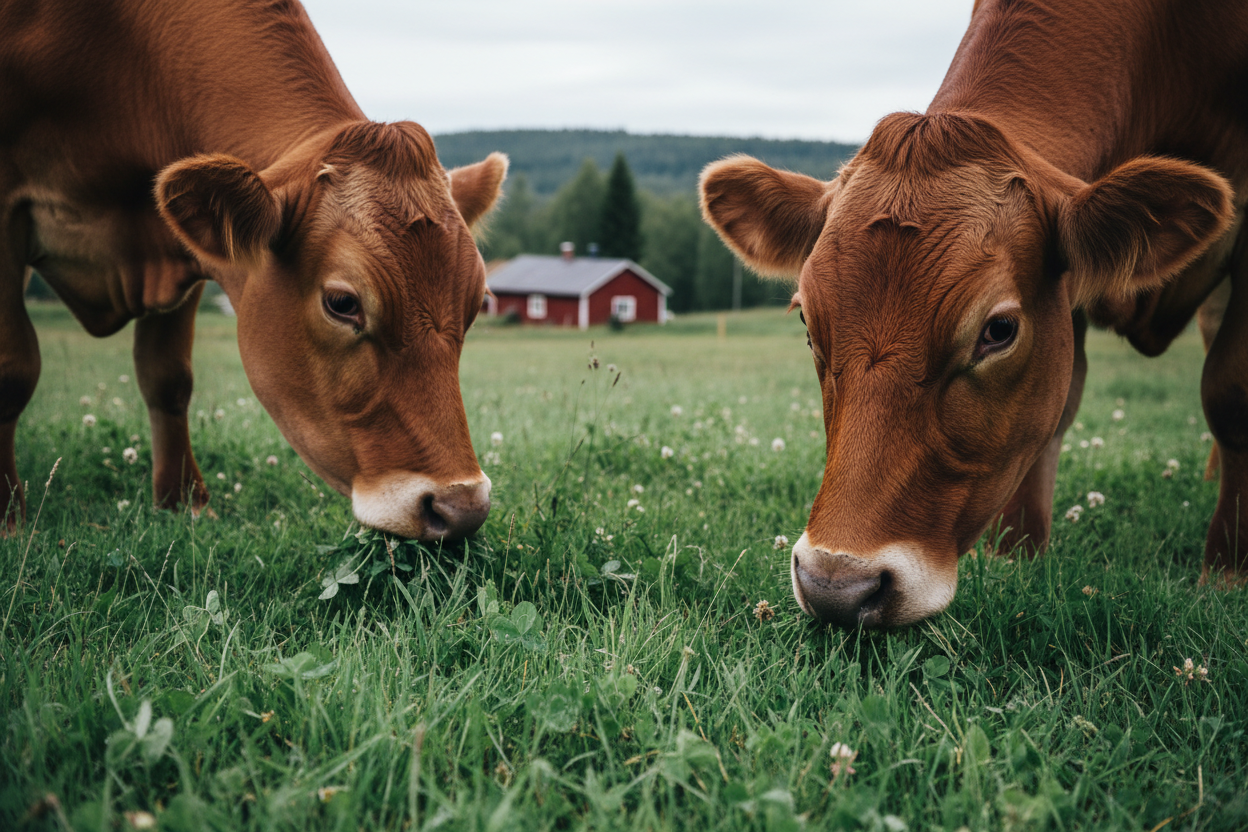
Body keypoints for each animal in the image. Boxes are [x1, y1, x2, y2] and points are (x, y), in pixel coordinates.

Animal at [1, 0, 506, 541]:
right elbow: (14, 368)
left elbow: (167, 376)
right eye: (342, 303)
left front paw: (183, 503)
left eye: (477, 303)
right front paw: (8, 517)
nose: (460, 506)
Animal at [700, 0, 1248, 628]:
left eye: (999, 330)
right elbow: (1061, 403)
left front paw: (1228, 572)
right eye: (807, 324)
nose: (837, 586)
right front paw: (1018, 556)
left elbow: (1230, 391)